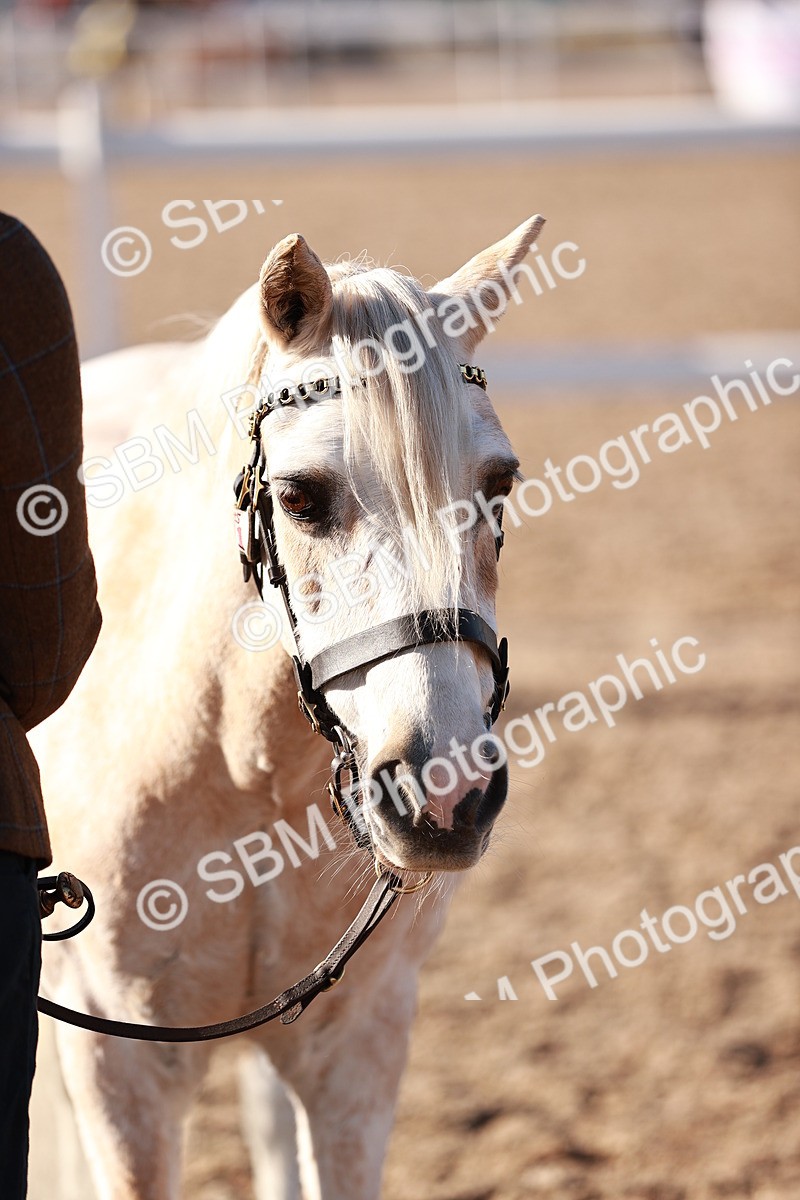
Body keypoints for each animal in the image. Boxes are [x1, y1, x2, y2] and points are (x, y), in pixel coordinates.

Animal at [32, 213, 544, 1200]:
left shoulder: (357, 1041)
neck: (233, 763)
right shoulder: (122, 1060)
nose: (443, 792)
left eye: (498, 485)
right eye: (301, 498)